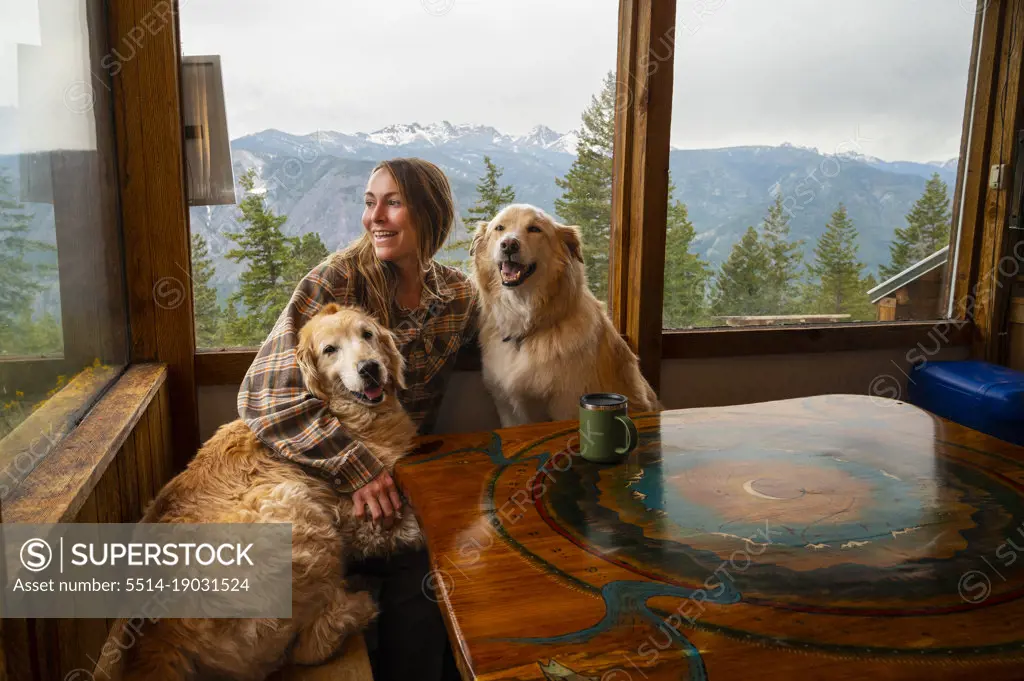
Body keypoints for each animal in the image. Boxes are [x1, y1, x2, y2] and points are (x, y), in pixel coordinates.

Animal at [120, 303, 419, 679]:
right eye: (330, 350)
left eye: (367, 334)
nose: (369, 369)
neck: (342, 412)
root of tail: (159, 638)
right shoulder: (361, 513)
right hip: (296, 510)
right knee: (309, 647)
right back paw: (358, 606)